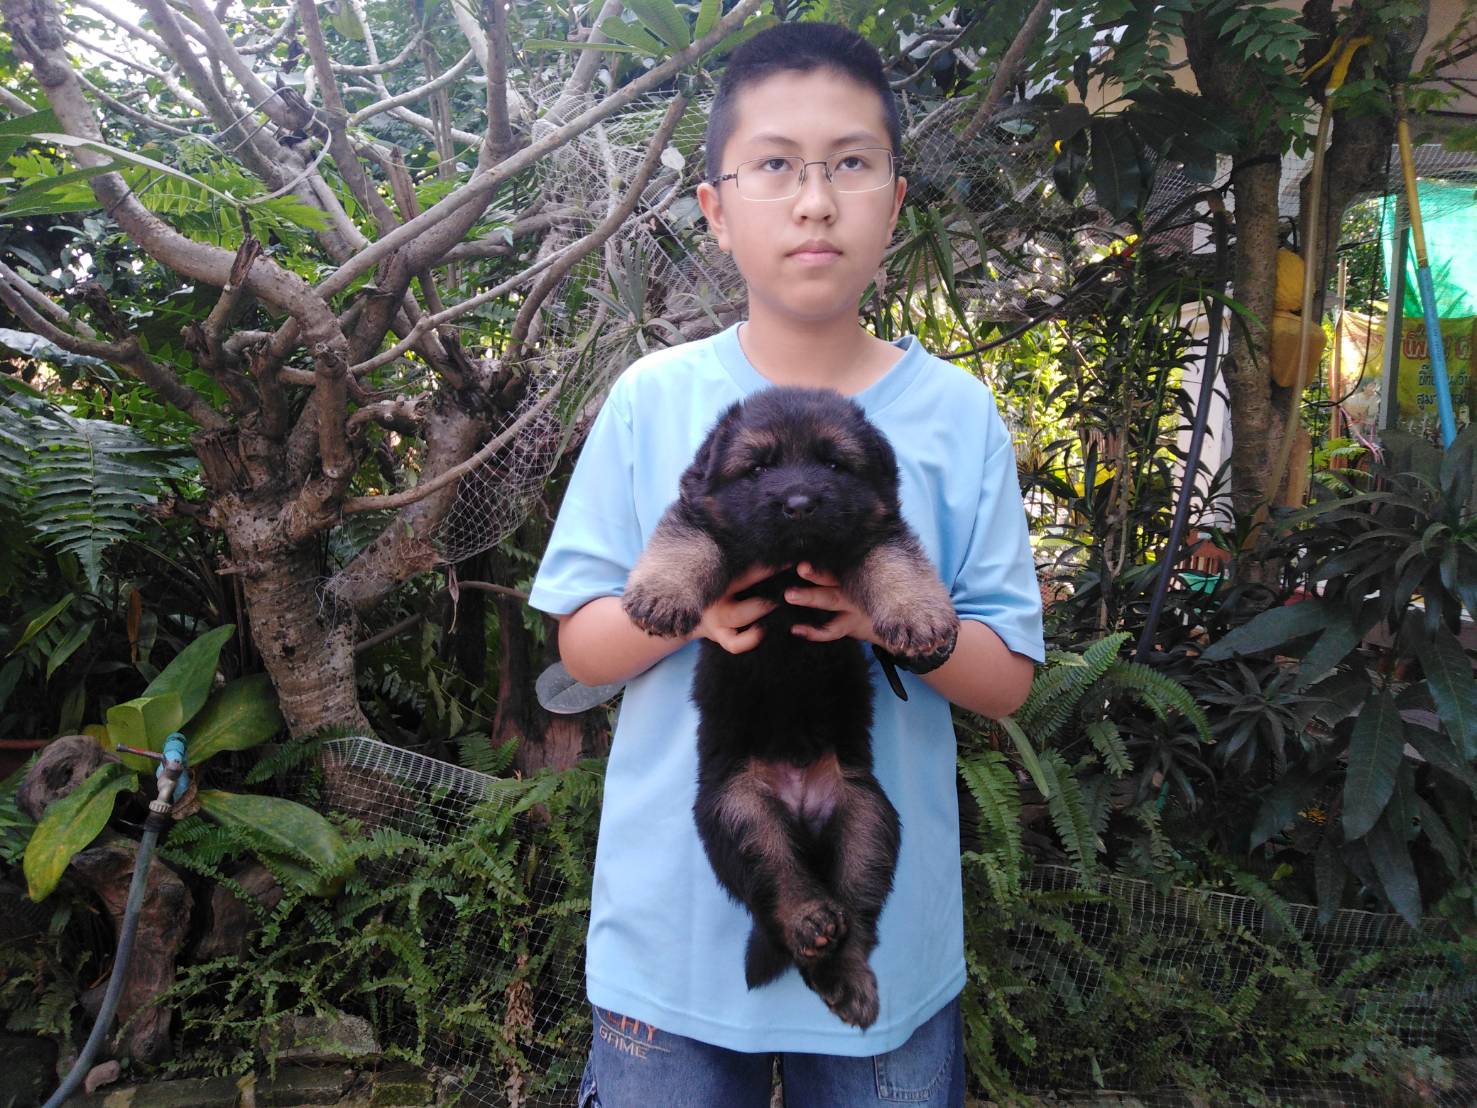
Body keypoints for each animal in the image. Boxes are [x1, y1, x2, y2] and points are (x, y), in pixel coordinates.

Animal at [621, 387, 959, 1028]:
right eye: (757, 469)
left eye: (833, 464)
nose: (799, 504)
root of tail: (800, 801)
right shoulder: (703, 518)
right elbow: (683, 544)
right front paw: (661, 593)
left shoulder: (874, 532)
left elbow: (898, 563)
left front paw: (920, 617)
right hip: (741, 811)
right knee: (776, 887)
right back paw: (808, 920)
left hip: (868, 818)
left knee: (856, 912)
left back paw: (845, 976)